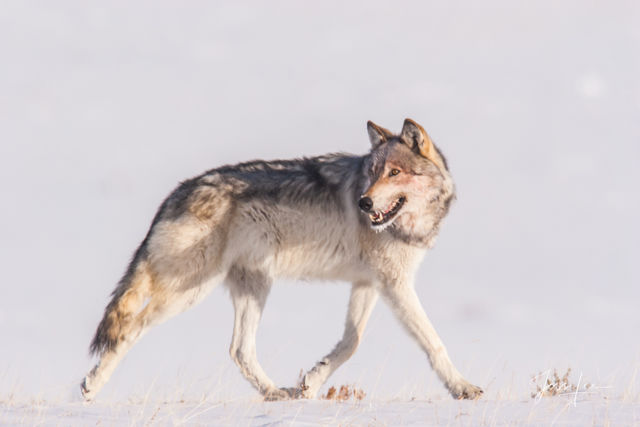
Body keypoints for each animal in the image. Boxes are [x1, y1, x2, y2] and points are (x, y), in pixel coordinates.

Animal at [81, 119, 480, 402]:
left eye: (394, 172)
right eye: (372, 173)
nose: (364, 202)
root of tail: (177, 193)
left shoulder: (370, 282)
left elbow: (350, 342)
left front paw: (312, 382)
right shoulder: (395, 284)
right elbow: (433, 342)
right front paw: (461, 387)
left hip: (253, 287)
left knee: (239, 350)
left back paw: (274, 392)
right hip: (188, 292)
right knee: (130, 327)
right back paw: (91, 386)